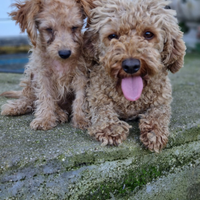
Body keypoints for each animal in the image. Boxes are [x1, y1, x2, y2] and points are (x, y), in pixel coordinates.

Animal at [0, 0, 93, 130]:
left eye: (74, 27)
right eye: (49, 29)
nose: (65, 53)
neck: (61, 63)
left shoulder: (81, 75)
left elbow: (80, 98)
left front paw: (81, 119)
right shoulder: (43, 75)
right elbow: (45, 96)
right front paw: (45, 119)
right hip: (32, 75)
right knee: (28, 97)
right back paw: (17, 107)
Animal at [83, 0, 186, 152]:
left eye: (148, 34)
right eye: (113, 36)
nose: (131, 66)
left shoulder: (162, 101)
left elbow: (159, 114)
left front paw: (154, 133)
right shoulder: (96, 98)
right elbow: (102, 111)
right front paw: (112, 128)